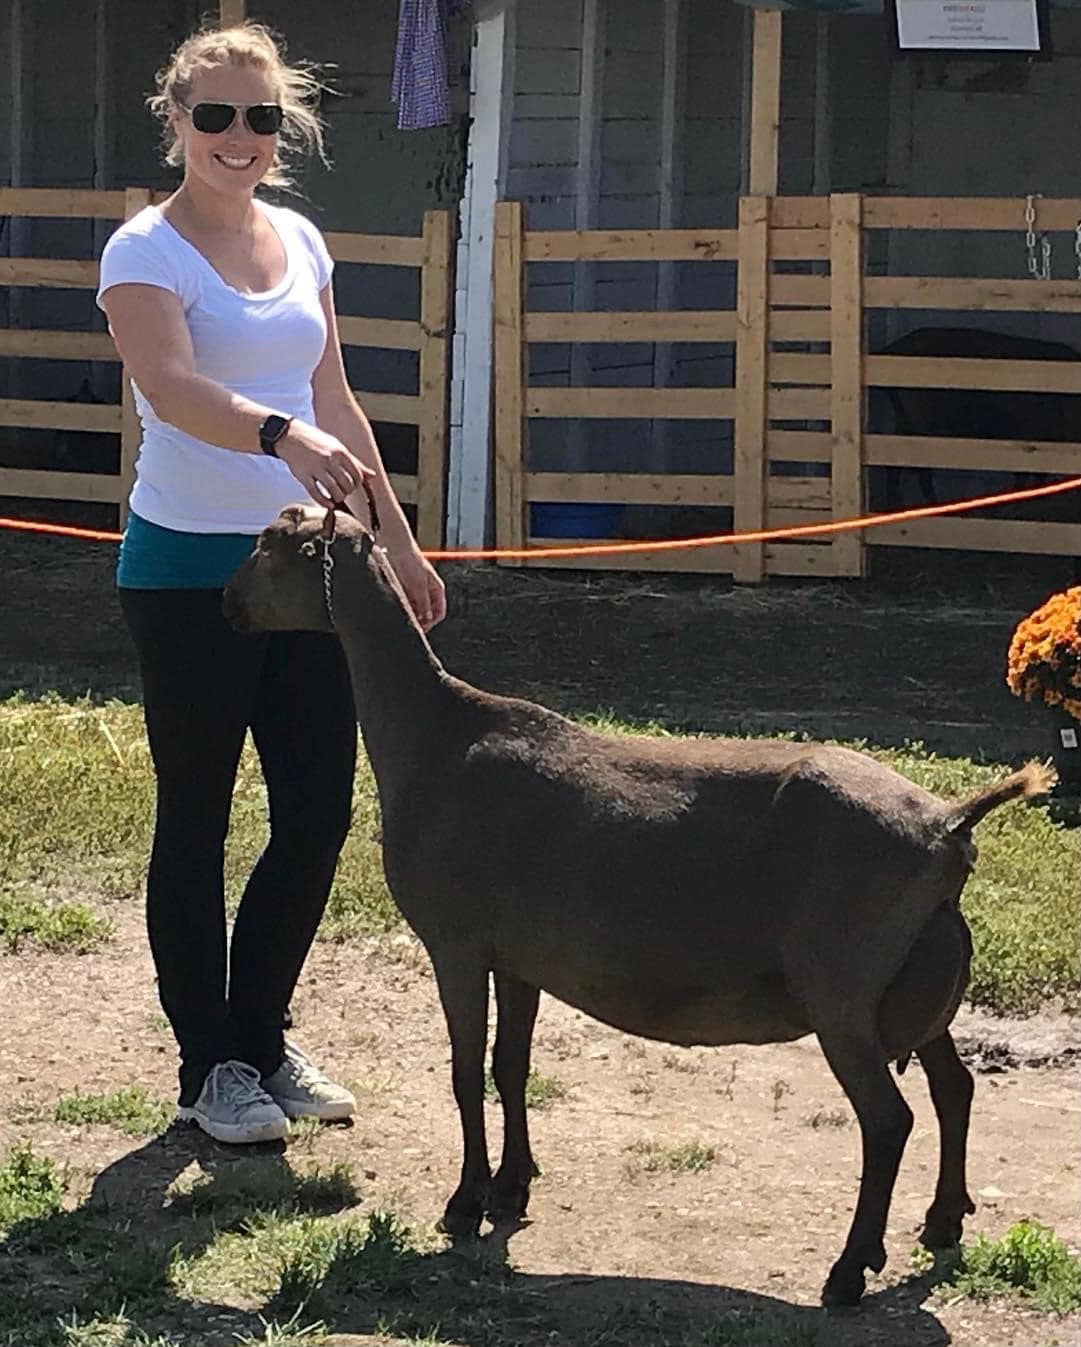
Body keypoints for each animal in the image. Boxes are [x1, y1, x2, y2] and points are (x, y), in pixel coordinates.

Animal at [223, 504, 1054, 1308]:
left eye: (265, 543)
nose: (229, 600)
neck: (434, 733)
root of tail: (945, 825)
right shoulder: (516, 955)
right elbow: (509, 1063)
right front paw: (511, 1187)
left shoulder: (454, 942)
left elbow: (463, 1070)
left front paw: (462, 1203)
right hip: (907, 977)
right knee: (952, 1085)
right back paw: (941, 1221)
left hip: (843, 985)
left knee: (887, 1120)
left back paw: (848, 1271)